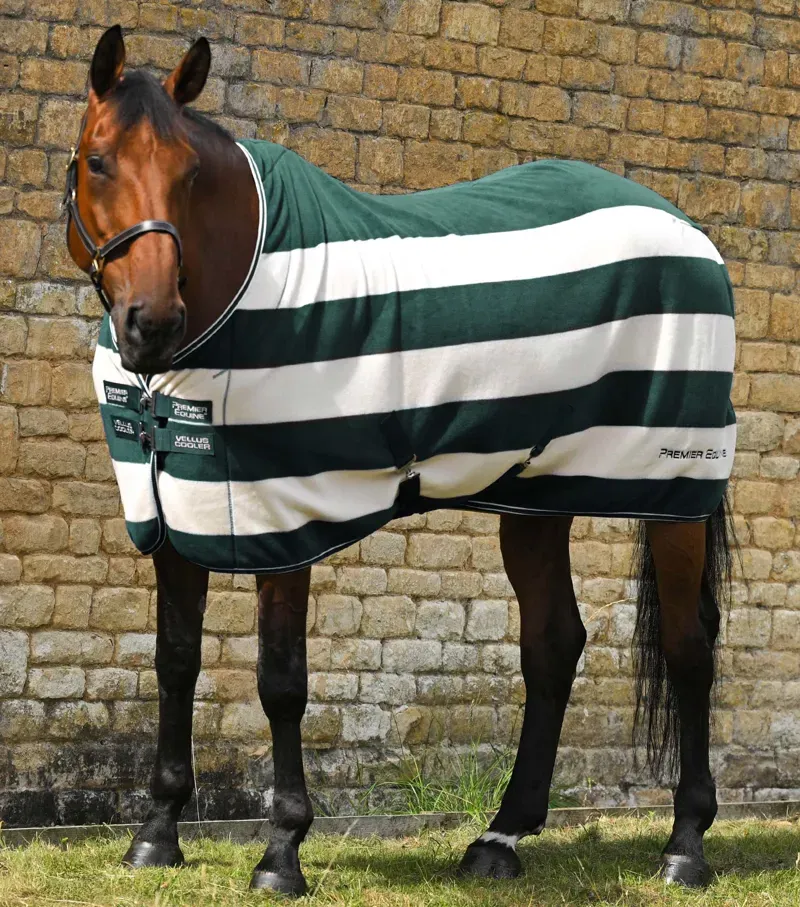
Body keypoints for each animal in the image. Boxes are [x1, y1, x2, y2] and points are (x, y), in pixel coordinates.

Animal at [63, 26, 736, 896]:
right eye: (98, 160)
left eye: (190, 173)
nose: (151, 323)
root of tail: (690, 232)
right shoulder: (176, 515)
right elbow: (175, 661)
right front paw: (157, 833)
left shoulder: (286, 520)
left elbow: (281, 681)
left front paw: (281, 850)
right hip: (537, 494)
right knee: (553, 642)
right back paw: (500, 837)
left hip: (673, 490)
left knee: (689, 647)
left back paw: (685, 844)